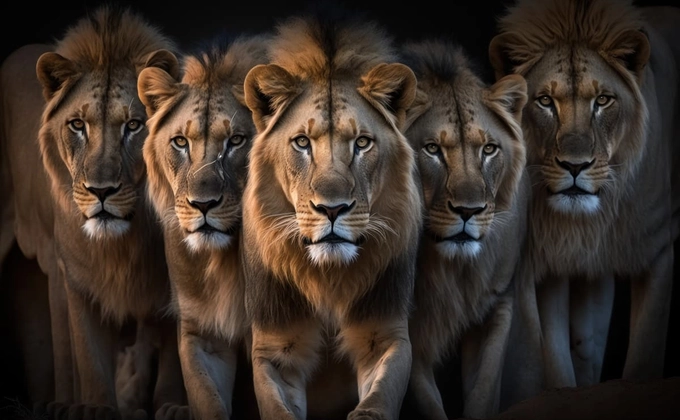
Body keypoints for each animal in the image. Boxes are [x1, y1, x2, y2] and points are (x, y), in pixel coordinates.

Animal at [0, 4, 186, 418]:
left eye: (133, 124)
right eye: (77, 125)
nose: (101, 191)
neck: (124, 241)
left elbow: (176, 354)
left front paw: (173, 404)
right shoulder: (76, 277)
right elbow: (88, 353)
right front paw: (96, 407)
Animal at [137, 34, 272, 420]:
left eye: (236, 141)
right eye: (180, 142)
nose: (203, 204)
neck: (225, 258)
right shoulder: (201, 334)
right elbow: (207, 400)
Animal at [240, 12, 422, 420]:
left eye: (362, 143)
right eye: (302, 142)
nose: (333, 208)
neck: (328, 277)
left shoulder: (385, 336)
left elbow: (379, 398)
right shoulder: (276, 348)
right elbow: (277, 407)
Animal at [397, 39, 529, 419]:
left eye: (489, 149)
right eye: (432, 149)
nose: (469, 211)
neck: (452, 268)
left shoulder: (497, 303)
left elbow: (483, 391)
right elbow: (427, 402)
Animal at [489, 0, 680, 395]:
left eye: (603, 100)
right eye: (545, 101)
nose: (575, 166)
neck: (591, 220)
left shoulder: (658, 246)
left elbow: (645, 355)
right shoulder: (551, 260)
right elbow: (558, 362)